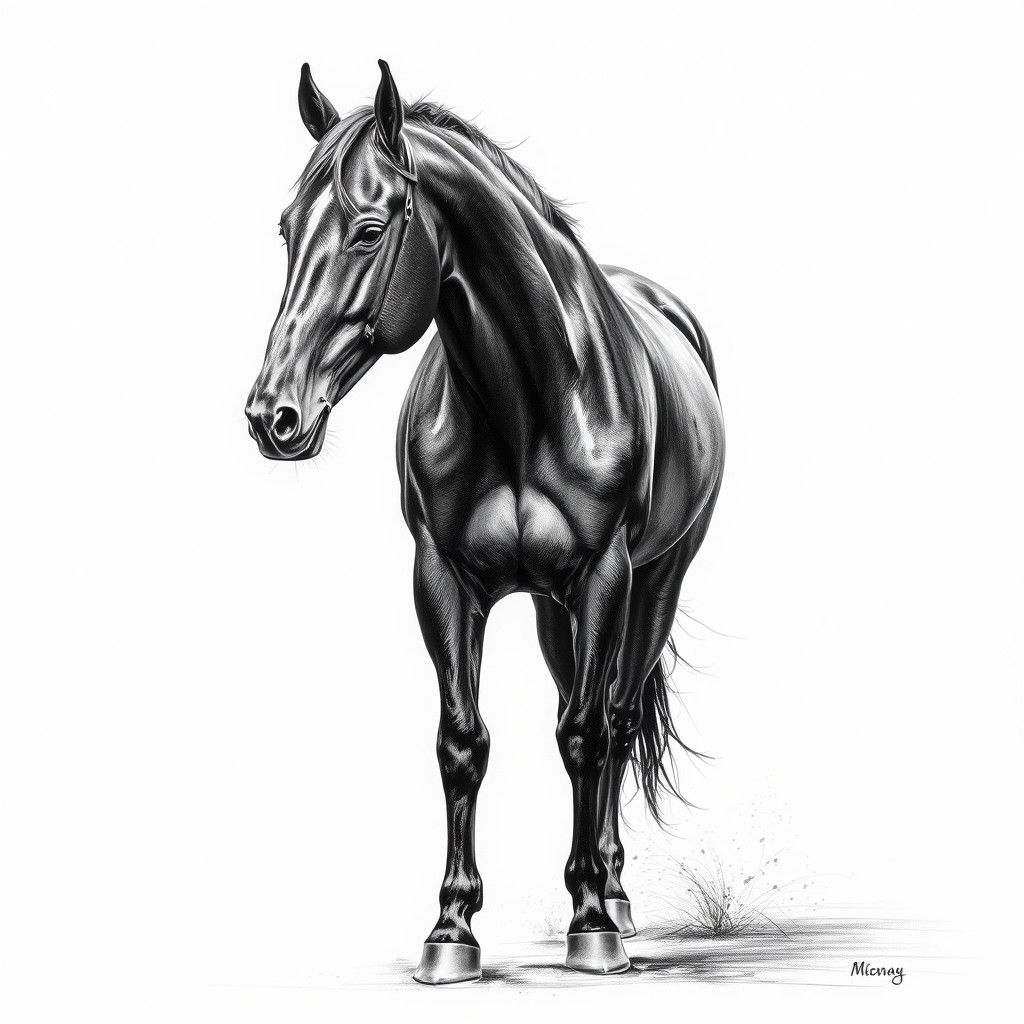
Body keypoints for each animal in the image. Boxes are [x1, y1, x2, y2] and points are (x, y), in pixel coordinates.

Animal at [246, 60, 725, 983]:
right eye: (286, 231)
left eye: (368, 231)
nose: (271, 416)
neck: (530, 401)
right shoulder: (443, 578)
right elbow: (462, 742)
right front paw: (450, 931)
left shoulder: (606, 576)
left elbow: (586, 737)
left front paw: (590, 928)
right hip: (550, 610)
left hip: (656, 584)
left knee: (614, 720)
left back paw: (612, 897)